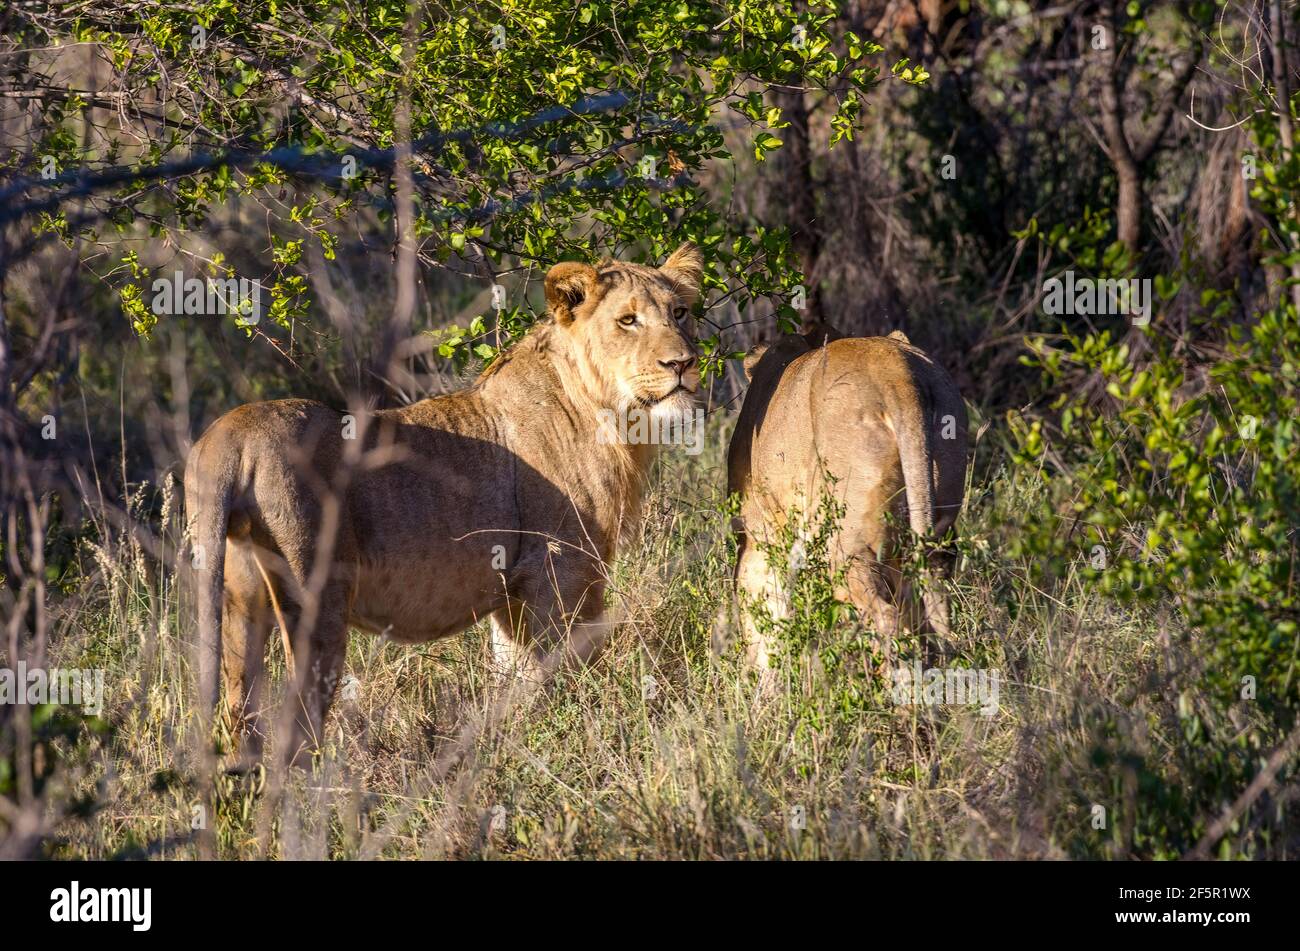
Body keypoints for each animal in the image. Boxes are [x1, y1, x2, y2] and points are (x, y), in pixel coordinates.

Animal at [184, 244, 704, 765]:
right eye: (628, 321)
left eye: (680, 313)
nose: (682, 363)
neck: (610, 412)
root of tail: (230, 434)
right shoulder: (563, 571)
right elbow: (570, 670)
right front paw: (583, 734)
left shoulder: (514, 590)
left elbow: (515, 674)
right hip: (316, 597)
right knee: (296, 725)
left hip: (239, 597)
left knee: (239, 711)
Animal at [725, 328, 968, 668]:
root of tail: (898, 373)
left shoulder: (760, 534)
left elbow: (761, 612)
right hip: (935, 528)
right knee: (937, 612)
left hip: (846, 541)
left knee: (886, 618)